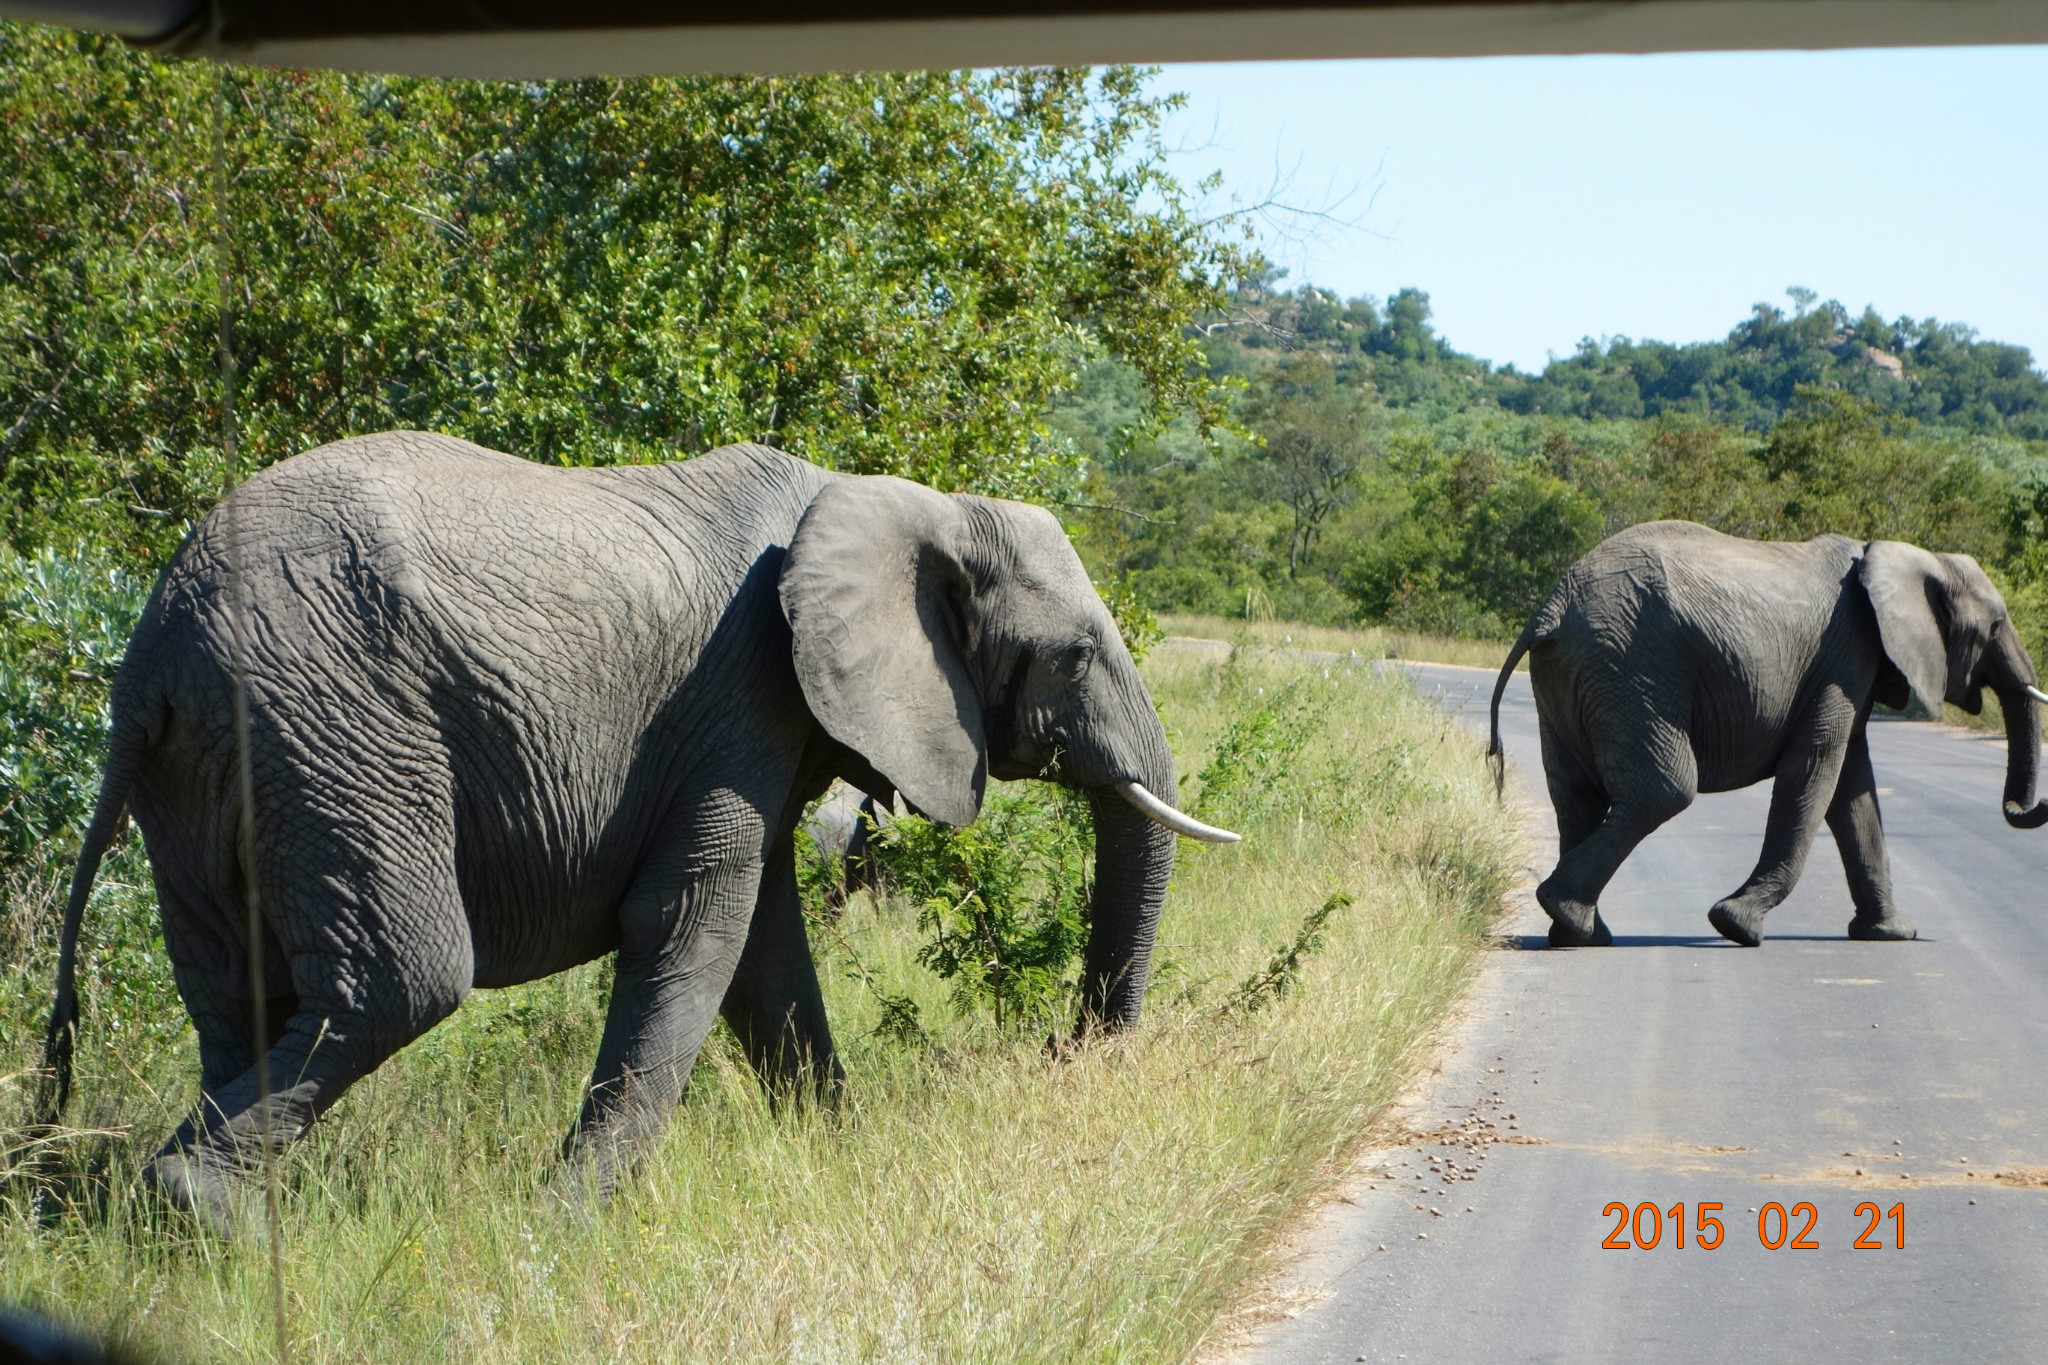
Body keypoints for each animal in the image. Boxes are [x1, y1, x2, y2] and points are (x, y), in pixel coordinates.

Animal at [39, 435, 1236, 1227]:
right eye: (1073, 655)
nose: (1071, 1048)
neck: (885, 498)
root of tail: (148, 653)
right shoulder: (739, 693)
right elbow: (697, 917)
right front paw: (564, 1227)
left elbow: (764, 946)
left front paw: (840, 1149)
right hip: (333, 721)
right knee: (403, 978)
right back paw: (204, 1209)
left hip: (212, 771)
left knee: (237, 987)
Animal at [1490, 519, 2048, 949]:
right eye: (1996, 625)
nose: (2033, 807)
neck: (1904, 555)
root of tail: (1551, 607)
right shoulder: (1846, 653)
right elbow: (1816, 769)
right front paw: (1736, 927)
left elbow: (1853, 788)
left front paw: (1891, 934)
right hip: (1632, 664)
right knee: (1663, 790)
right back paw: (1567, 915)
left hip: (1576, 674)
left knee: (1576, 797)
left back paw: (1579, 933)